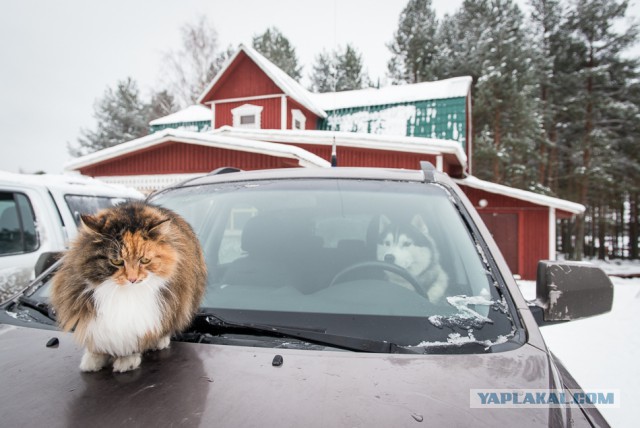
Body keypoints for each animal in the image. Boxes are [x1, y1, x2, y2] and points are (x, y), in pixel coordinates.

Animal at [53, 201, 208, 372]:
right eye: (117, 261)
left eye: (145, 260)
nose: (132, 279)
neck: (123, 294)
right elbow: (98, 340)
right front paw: (94, 359)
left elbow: (131, 339)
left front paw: (127, 360)